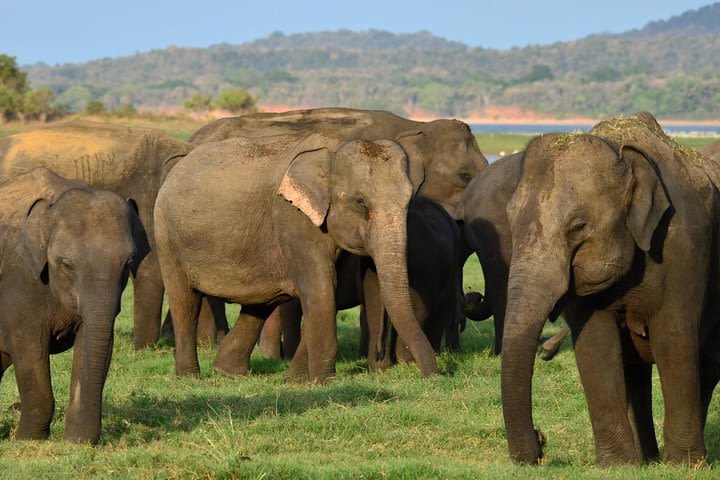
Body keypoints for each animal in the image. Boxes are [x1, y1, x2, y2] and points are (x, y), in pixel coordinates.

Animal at [0, 168, 148, 442]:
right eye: (67, 264)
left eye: (129, 262)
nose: (82, 440)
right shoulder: (20, 280)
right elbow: (28, 347)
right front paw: (28, 439)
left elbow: (93, 341)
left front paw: (76, 442)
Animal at [156, 132, 438, 382]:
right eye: (360, 202)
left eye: (409, 200)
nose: (430, 377)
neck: (332, 150)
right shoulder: (293, 217)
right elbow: (321, 289)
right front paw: (325, 382)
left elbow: (330, 292)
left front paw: (296, 380)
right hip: (167, 239)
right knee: (185, 302)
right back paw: (190, 377)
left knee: (260, 303)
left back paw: (228, 373)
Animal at [500, 111, 720, 464]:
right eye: (510, 221)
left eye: (578, 227)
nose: (541, 439)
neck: (621, 153)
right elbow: (595, 345)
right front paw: (618, 466)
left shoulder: (685, 245)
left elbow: (674, 339)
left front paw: (684, 465)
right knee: (636, 372)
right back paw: (647, 458)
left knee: (707, 363)